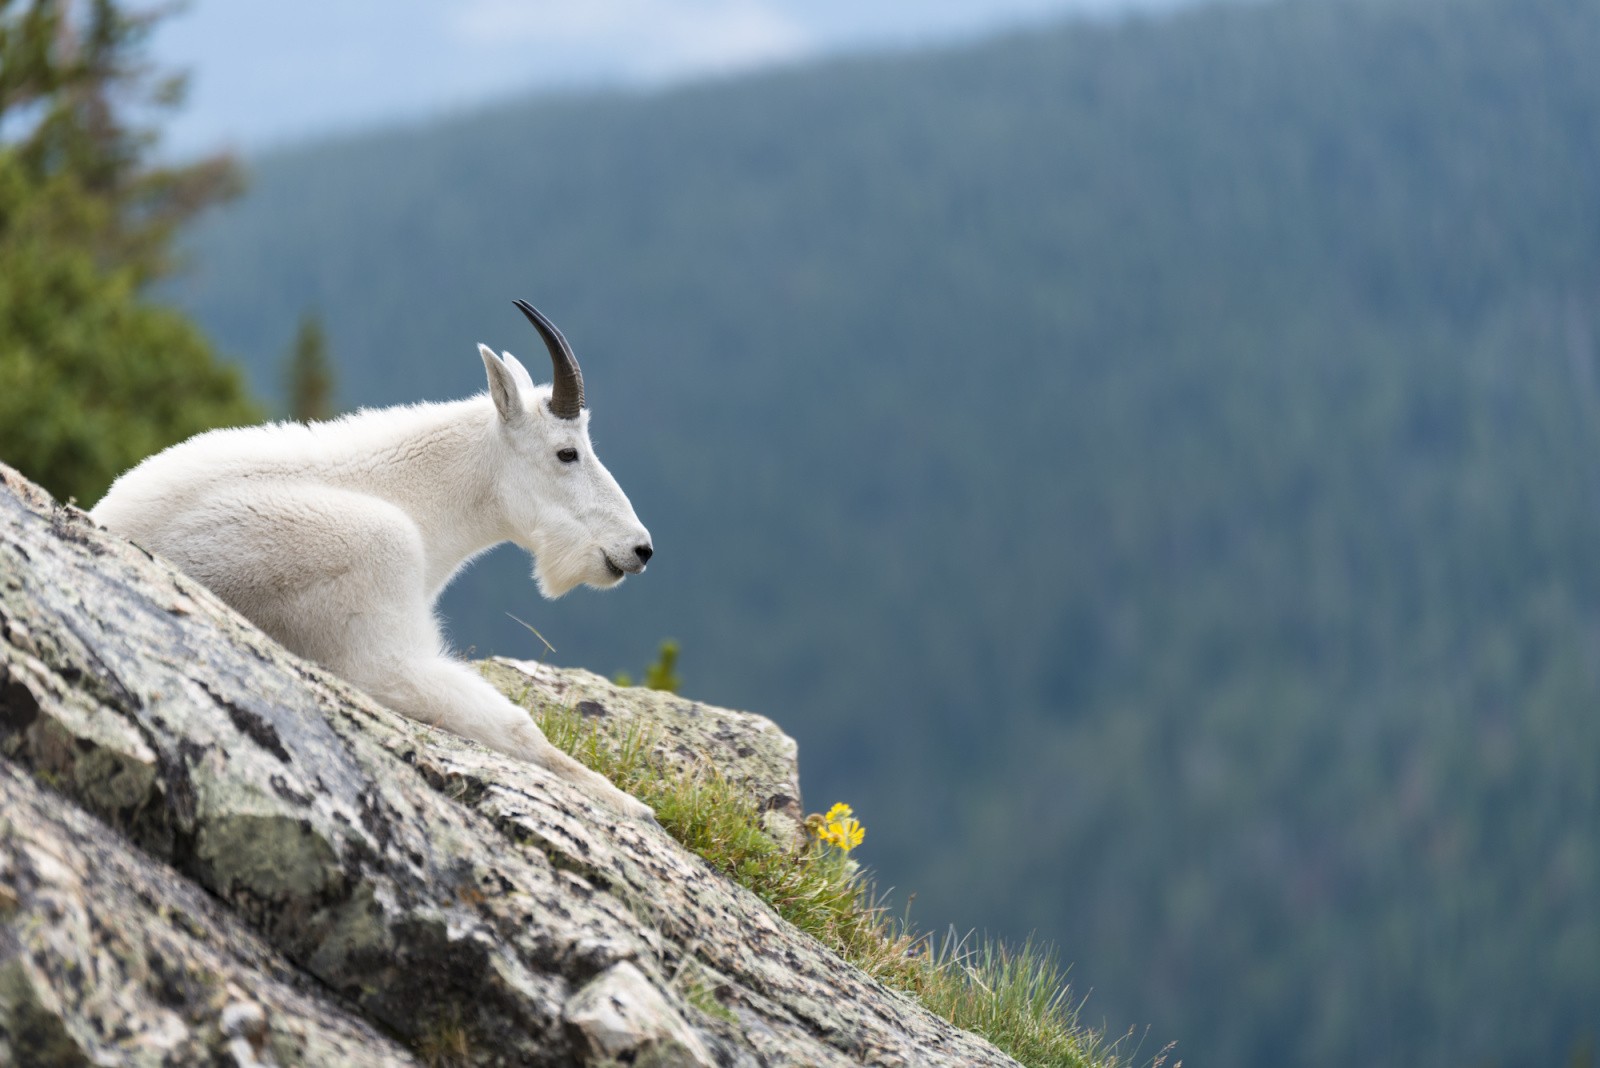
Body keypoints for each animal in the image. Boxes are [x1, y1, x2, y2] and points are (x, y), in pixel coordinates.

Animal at [91, 301, 656, 821]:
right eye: (567, 453)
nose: (640, 548)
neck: (414, 498)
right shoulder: (379, 650)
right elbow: (519, 728)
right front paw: (630, 804)